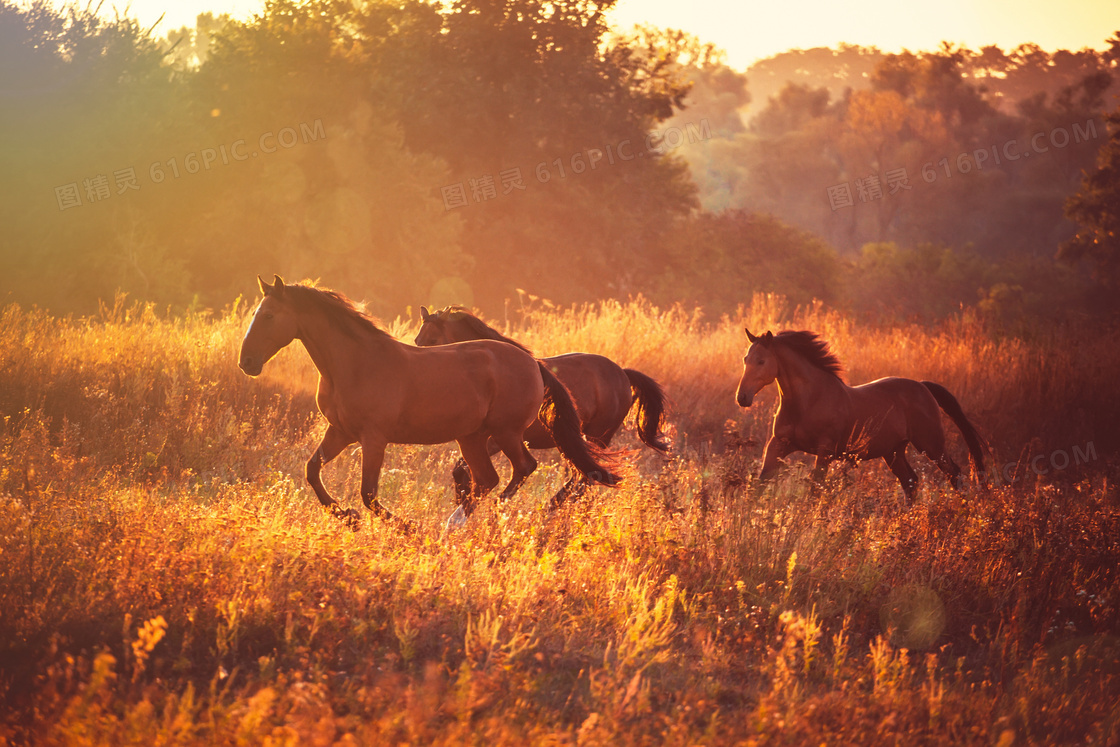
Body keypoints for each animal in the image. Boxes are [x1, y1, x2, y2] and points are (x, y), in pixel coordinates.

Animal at [238, 274, 622, 526]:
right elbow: (312, 470)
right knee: (487, 479)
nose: (247, 362)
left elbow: (369, 494)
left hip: (506, 432)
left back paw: (487, 517)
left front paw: (406, 528)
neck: (355, 363)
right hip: (472, 437)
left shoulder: (373, 438)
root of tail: (533, 363)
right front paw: (346, 516)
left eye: (268, 315)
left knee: (523, 469)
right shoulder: (341, 432)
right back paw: (456, 525)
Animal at [416, 304, 667, 508]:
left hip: (598, 437)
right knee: (584, 477)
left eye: (433, 340)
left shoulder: (501, 437)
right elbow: (461, 468)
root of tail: (623, 373)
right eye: (418, 341)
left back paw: (552, 507)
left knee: (586, 477)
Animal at [734, 329, 990, 499]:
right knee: (911, 482)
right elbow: (760, 484)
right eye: (745, 359)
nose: (742, 397)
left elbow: (815, 490)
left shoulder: (824, 452)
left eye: (761, 361)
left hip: (931, 445)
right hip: (893, 451)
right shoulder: (778, 445)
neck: (807, 401)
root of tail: (922, 386)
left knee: (953, 473)